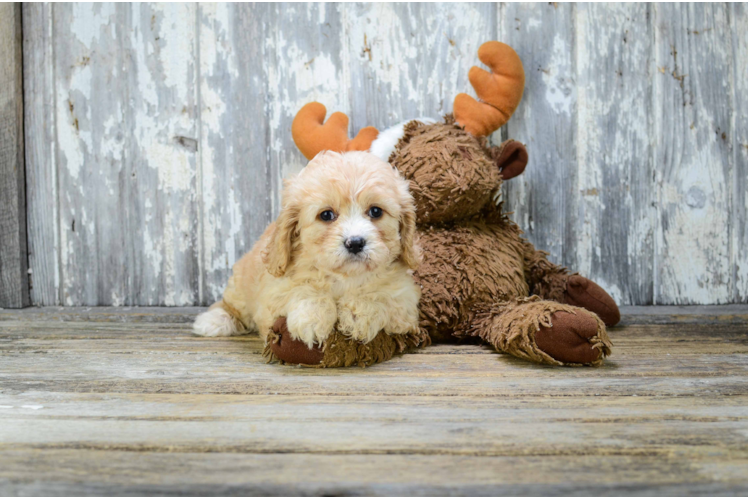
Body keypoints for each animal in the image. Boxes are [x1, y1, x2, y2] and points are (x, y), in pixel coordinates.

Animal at [194, 150, 420, 350]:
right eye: (326, 215)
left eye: (375, 211)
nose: (355, 242)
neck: (344, 278)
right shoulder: (274, 291)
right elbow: (303, 289)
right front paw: (313, 320)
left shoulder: (405, 302)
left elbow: (380, 294)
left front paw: (359, 315)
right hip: (240, 285)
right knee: (231, 306)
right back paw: (213, 320)